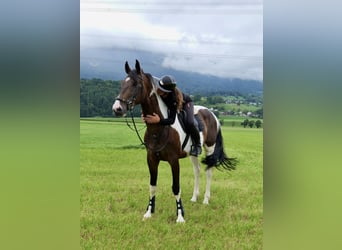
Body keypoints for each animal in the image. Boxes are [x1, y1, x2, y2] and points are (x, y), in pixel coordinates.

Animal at [111, 60, 235, 223]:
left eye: (136, 84)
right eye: (121, 83)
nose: (117, 108)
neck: (159, 129)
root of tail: (212, 114)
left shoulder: (174, 160)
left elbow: (176, 187)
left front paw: (180, 216)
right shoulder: (151, 159)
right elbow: (152, 186)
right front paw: (149, 212)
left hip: (210, 148)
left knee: (209, 170)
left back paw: (206, 199)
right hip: (193, 153)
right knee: (197, 171)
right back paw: (194, 197)